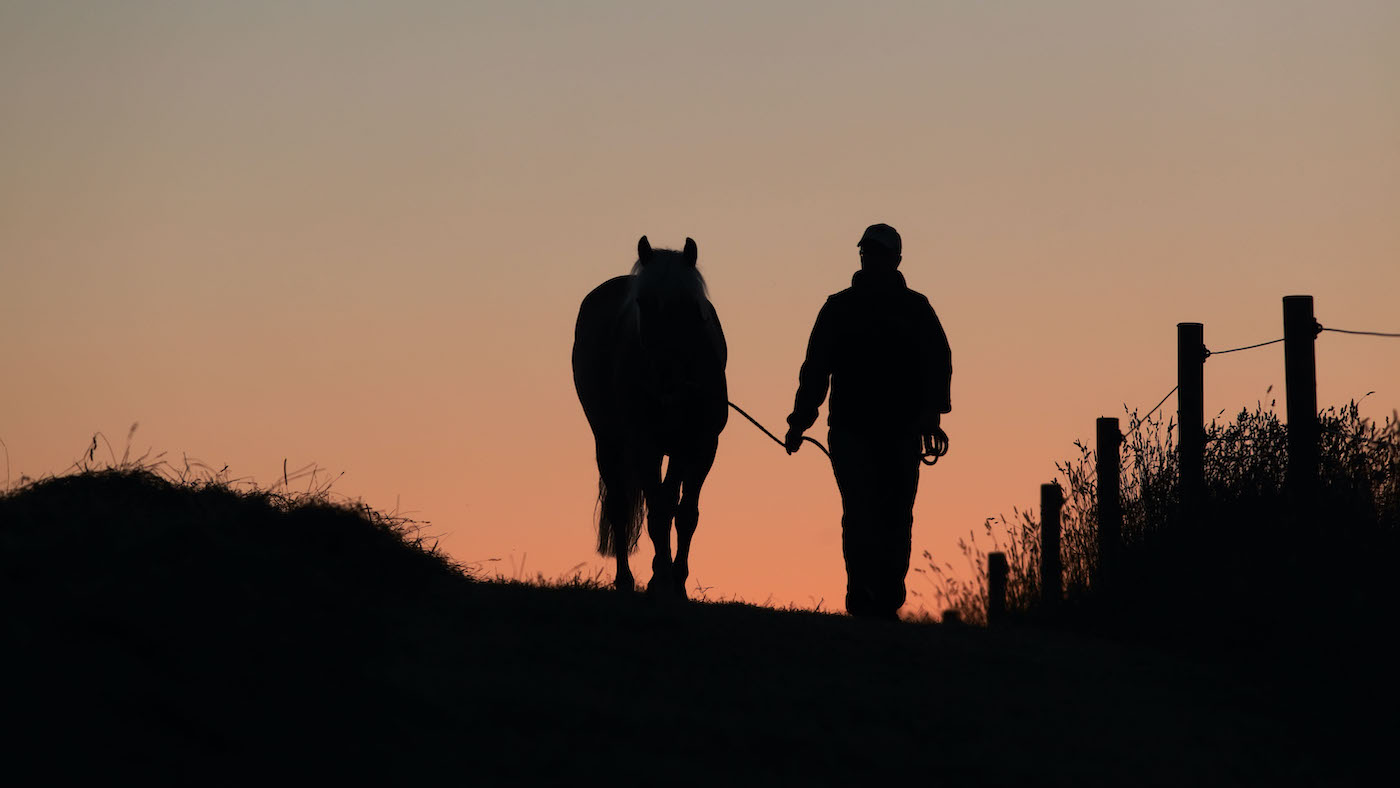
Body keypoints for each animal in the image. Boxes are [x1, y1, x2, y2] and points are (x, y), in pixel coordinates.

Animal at [572, 236, 728, 597]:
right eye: (642, 303)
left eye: (691, 305)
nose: (667, 375)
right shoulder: (646, 446)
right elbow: (658, 512)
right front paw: (662, 581)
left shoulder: (699, 446)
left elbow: (684, 513)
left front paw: (676, 582)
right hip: (609, 442)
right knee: (619, 506)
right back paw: (625, 582)